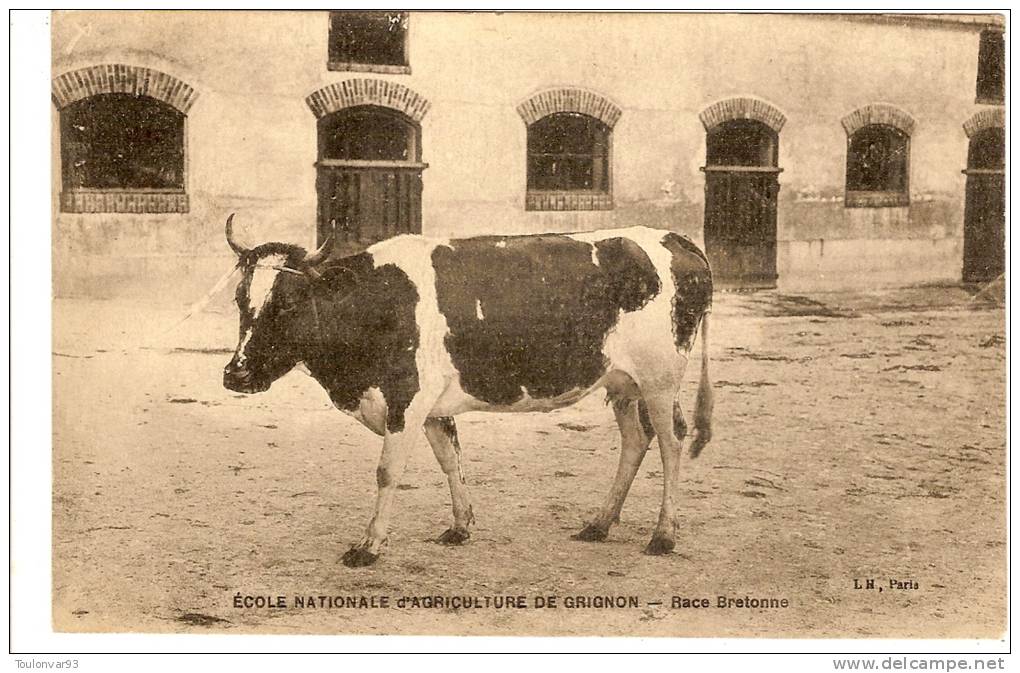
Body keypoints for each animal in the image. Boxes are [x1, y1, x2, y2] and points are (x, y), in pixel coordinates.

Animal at [221, 213, 718, 566]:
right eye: (240, 300)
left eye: (288, 302)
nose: (235, 375)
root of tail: (676, 239)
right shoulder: (432, 406)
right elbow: (450, 460)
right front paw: (461, 526)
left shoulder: (406, 399)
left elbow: (387, 473)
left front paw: (369, 546)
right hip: (622, 383)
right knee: (635, 439)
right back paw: (599, 524)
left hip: (660, 378)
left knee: (671, 441)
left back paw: (663, 534)